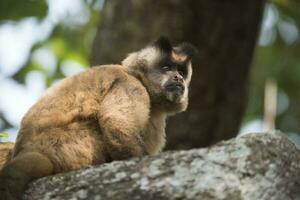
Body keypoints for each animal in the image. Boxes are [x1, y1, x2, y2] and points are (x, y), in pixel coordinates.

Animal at [0, 36, 195, 199]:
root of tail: (25, 148)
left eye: (181, 71)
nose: (178, 78)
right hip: (66, 146)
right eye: (166, 68)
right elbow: (116, 124)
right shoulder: (131, 86)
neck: (138, 77)